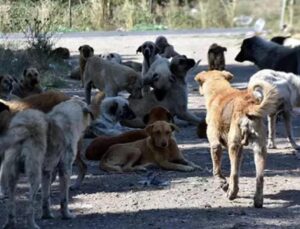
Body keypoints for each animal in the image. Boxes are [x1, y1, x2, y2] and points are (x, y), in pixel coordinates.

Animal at [0, 98, 91, 229]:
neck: (66, 116)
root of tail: (26, 126)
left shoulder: (46, 173)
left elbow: (45, 197)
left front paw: (46, 215)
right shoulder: (65, 170)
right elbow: (64, 199)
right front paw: (66, 215)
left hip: (12, 176)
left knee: (11, 204)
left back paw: (10, 224)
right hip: (34, 177)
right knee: (29, 206)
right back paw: (32, 225)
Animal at [195, 70, 278, 208]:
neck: (219, 90)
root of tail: (248, 106)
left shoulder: (215, 142)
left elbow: (216, 169)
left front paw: (223, 184)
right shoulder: (241, 149)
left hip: (233, 145)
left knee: (233, 173)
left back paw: (231, 193)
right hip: (259, 149)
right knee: (259, 177)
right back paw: (258, 200)